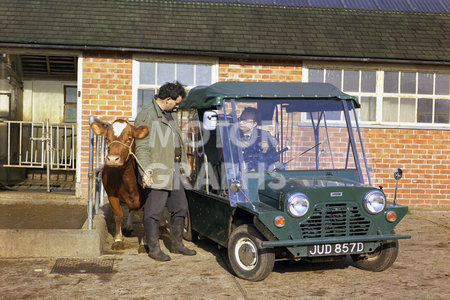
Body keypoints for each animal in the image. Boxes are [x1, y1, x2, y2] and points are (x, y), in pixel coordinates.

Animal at [90, 119, 149, 251]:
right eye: (107, 138)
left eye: (129, 138)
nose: (112, 159)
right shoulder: (111, 194)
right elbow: (118, 215)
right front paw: (118, 239)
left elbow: (146, 219)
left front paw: (145, 243)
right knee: (131, 210)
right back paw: (128, 227)